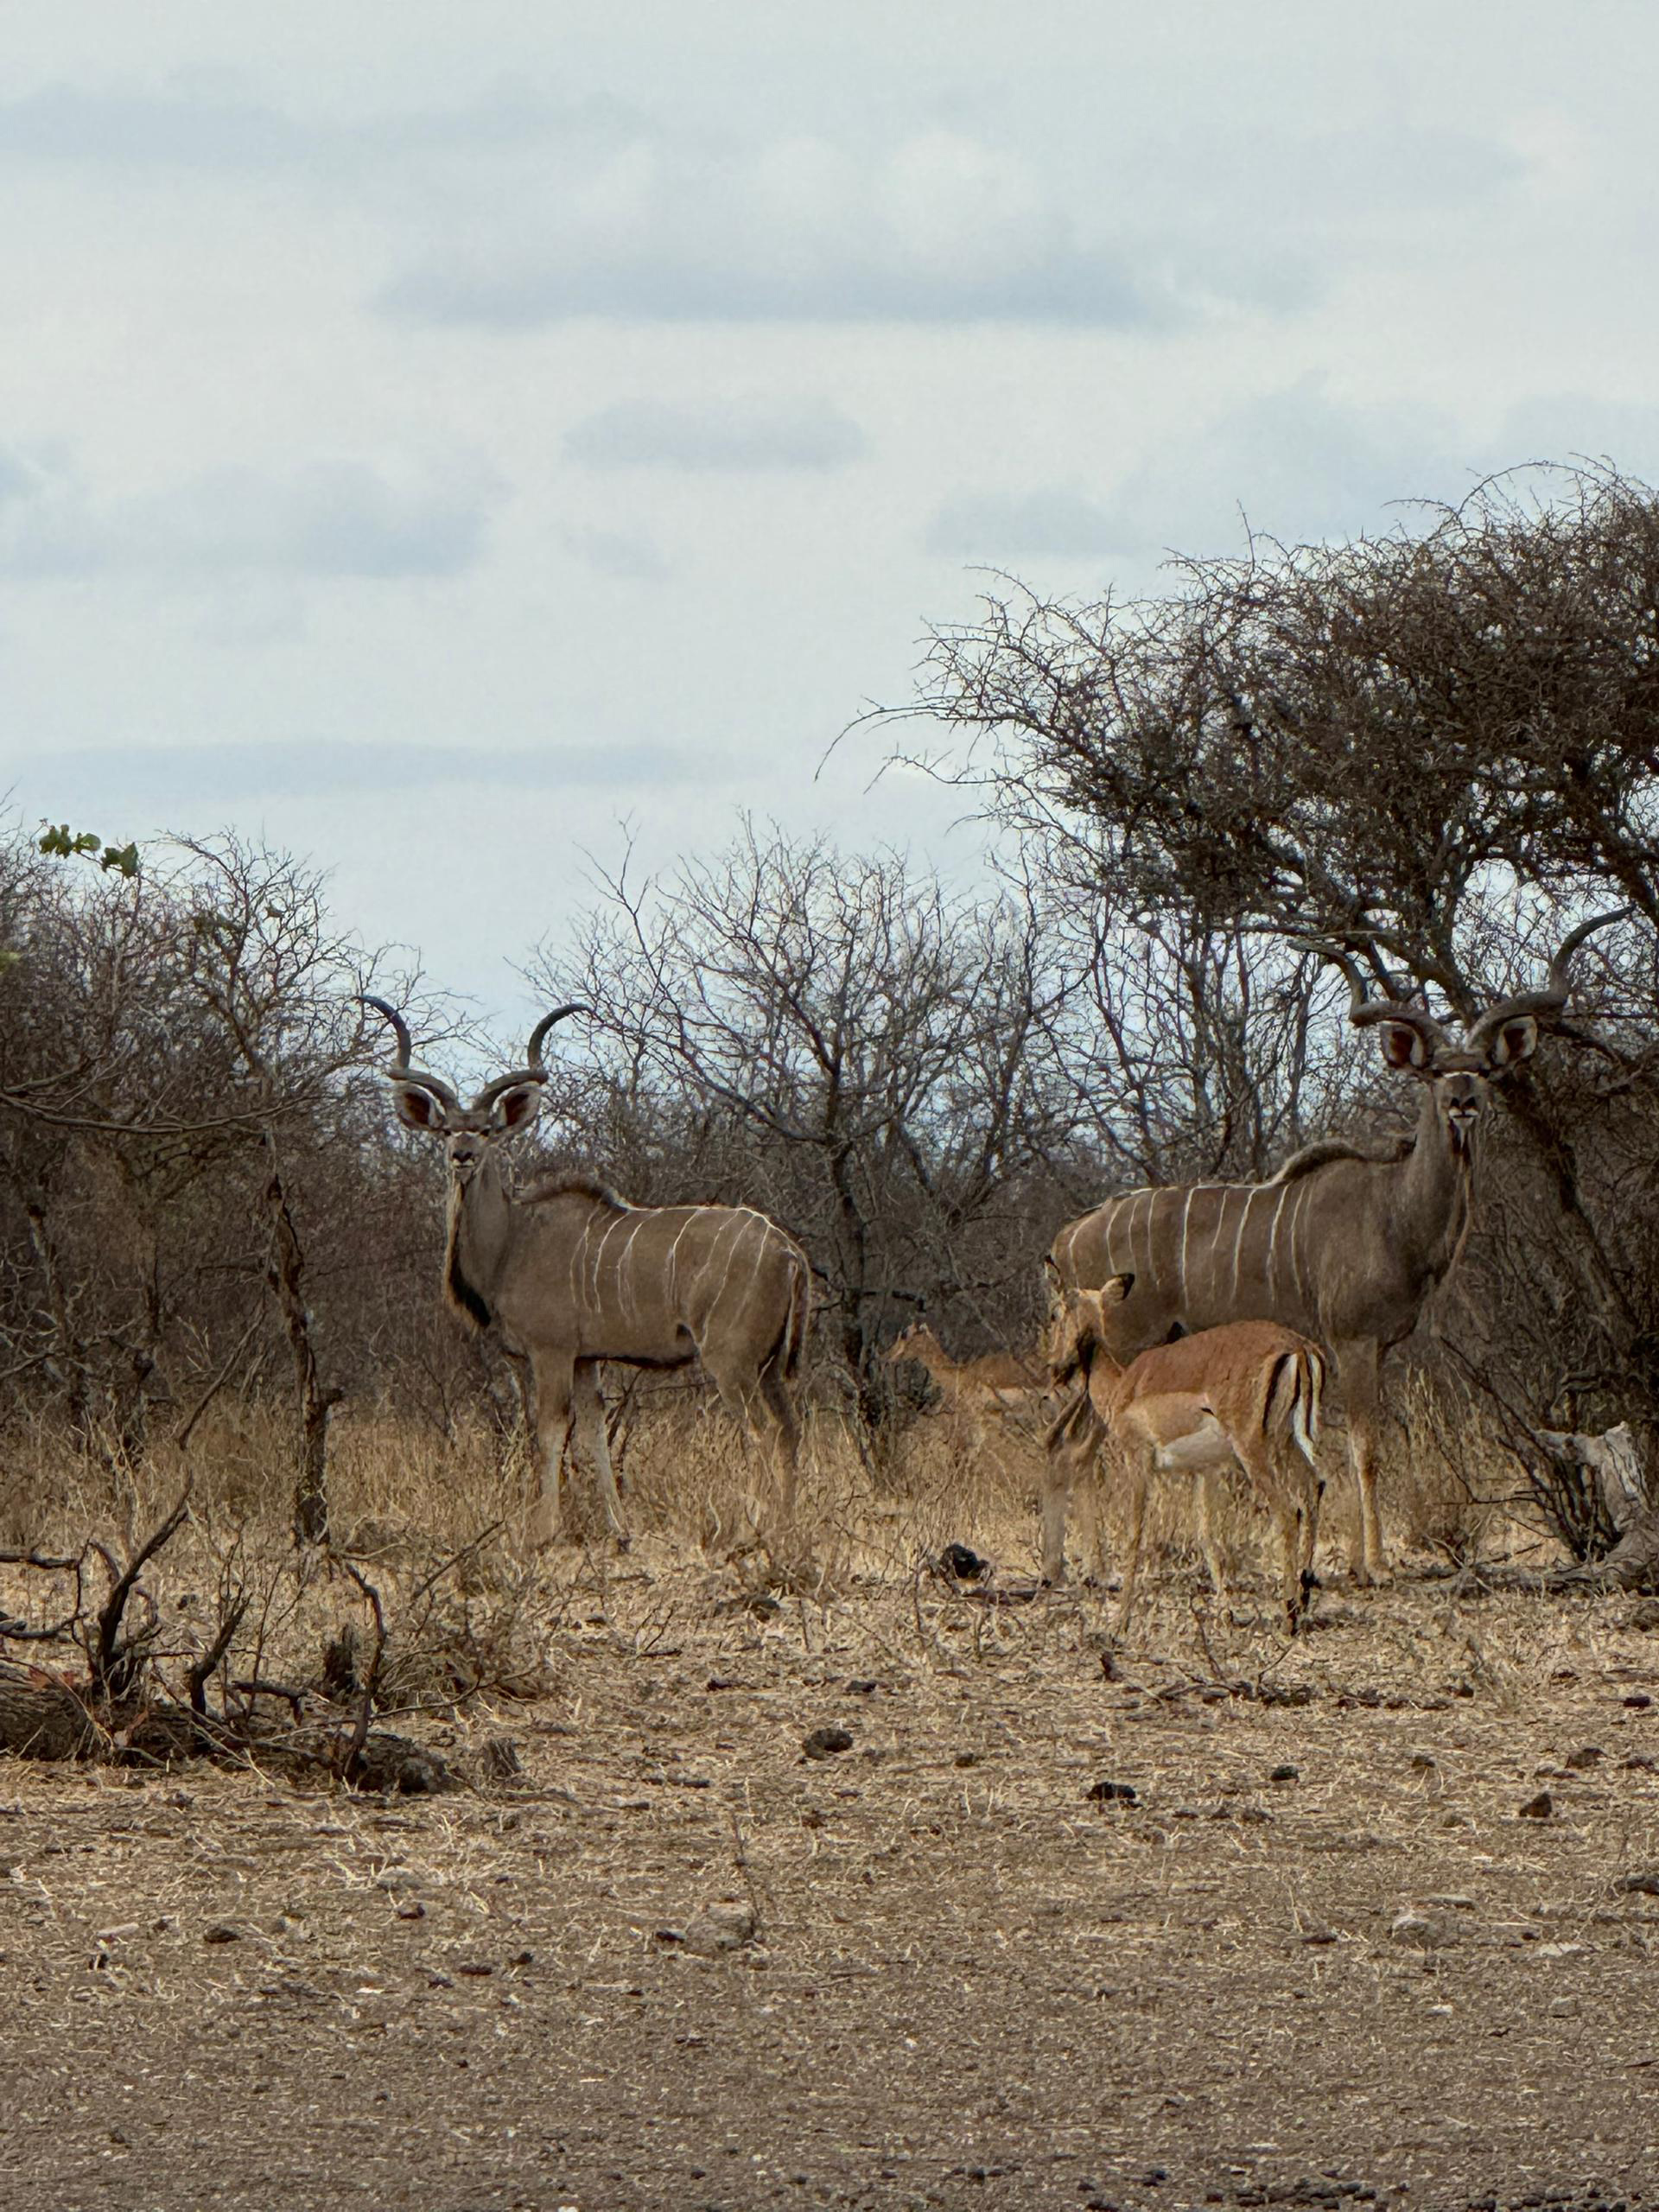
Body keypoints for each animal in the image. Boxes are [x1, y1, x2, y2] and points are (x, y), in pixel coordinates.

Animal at [365, 999, 810, 1546]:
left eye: (487, 1130)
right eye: (446, 1129)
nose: (462, 1155)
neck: (515, 1240)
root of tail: (788, 1252)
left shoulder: (551, 1352)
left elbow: (552, 1431)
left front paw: (543, 1531)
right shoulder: (586, 1359)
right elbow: (596, 1434)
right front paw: (620, 1529)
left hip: (732, 1361)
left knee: (760, 1432)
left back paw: (753, 1530)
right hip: (768, 1366)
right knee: (789, 1431)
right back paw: (788, 1529)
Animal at [1045, 912, 1623, 1586]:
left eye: (1482, 1067)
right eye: (1434, 1072)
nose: (1462, 1102)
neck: (1394, 1211)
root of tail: (1067, 1237)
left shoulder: (1375, 1347)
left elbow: (1346, 1447)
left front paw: (1347, 1561)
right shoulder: (1352, 1339)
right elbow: (1366, 1449)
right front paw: (1375, 1564)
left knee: (1063, 1443)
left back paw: (1062, 1568)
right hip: (1124, 1348)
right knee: (1082, 1445)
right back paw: (1095, 1568)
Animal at [1046, 1278, 1326, 1627]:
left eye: (1054, 1314)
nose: (1054, 1367)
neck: (1122, 1386)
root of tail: (1299, 1348)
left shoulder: (1138, 1460)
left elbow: (1134, 1534)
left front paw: (1121, 1621)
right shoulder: (1205, 1469)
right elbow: (1207, 1535)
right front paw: (1225, 1611)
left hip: (1255, 1450)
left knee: (1288, 1511)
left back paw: (1289, 1615)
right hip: (1290, 1443)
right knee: (1314, 1487)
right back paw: (1304, 1594)